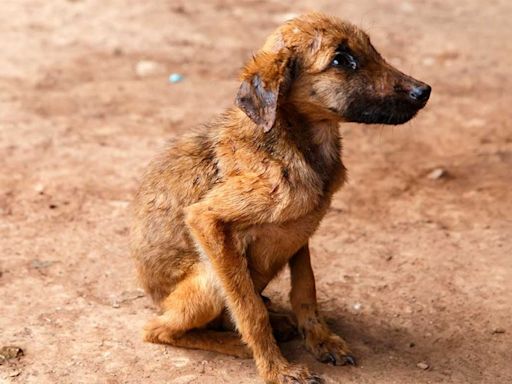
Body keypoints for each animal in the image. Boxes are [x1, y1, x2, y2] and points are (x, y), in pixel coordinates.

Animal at [132, 12, 432, 384]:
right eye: (341, 60)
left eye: (372, 49)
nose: (424, 91)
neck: (295, 142)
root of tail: (154, 297)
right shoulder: (206, 219)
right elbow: (249, 311)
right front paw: (275, 368)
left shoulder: (301, 231)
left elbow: (305, 288)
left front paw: (320, 339)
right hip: (209, 276)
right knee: (159, 330)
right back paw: (238, 344)